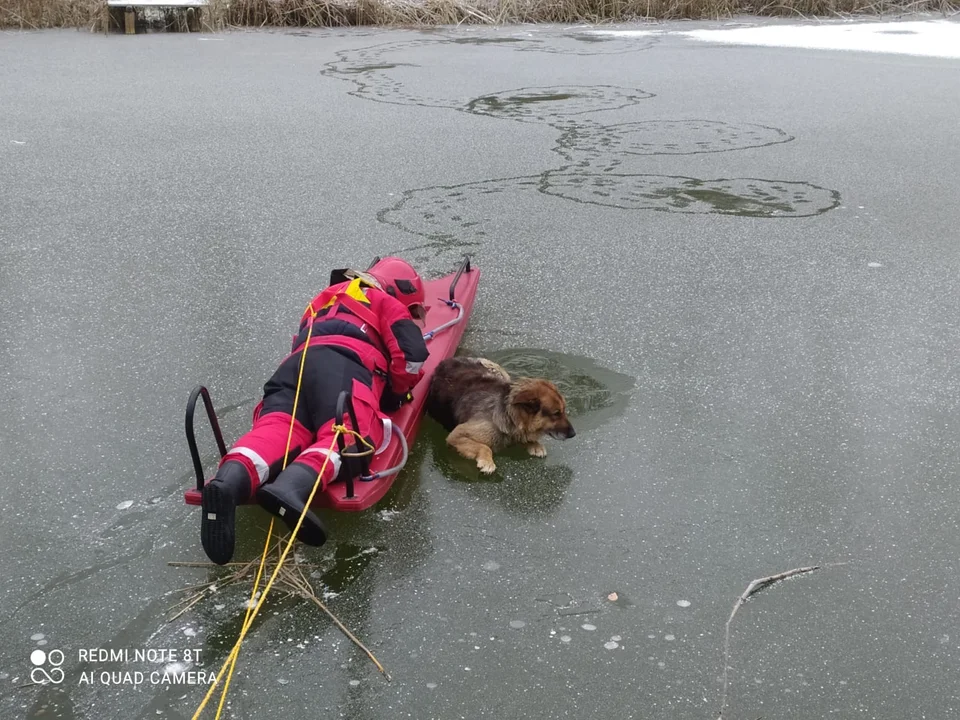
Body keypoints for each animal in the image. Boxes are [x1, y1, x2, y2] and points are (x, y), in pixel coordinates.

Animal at [426, 354, 572, 472]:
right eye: (556, 413)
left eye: (563, 411)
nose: (574, 434)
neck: (510, 416)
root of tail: (449, 360)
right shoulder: (456, 435)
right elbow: (485, 447)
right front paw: (487, 461)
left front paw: (534, 443)